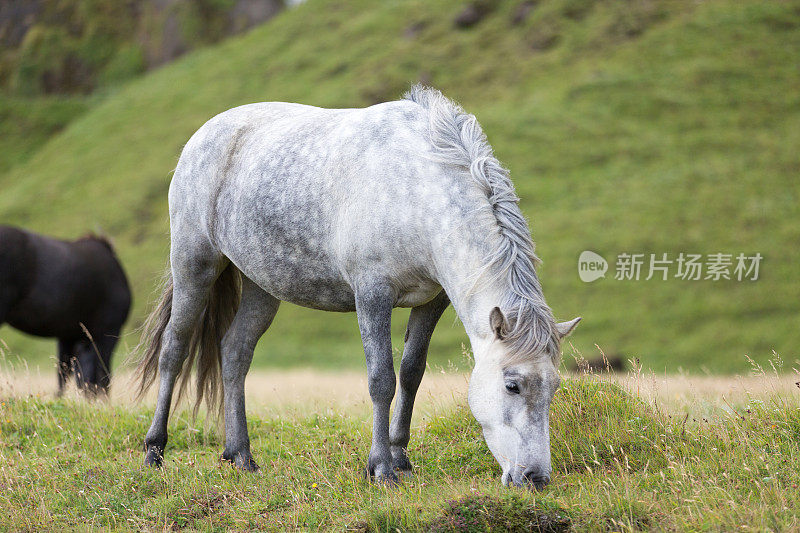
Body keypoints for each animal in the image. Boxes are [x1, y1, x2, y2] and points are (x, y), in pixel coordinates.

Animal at [134, 85, 580, 488]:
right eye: (512, 385)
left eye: (554, 386)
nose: (535, 478)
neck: (417, 188)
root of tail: (202, 136)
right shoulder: (372, 296)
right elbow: (382, 379)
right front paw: (380, 468)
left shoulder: (432, 302)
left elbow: (411, 373)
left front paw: (401, 458)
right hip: (195, 263)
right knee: (175, 348)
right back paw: (155, 451)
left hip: (262, 285)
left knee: (234, 351)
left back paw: (241, 455)